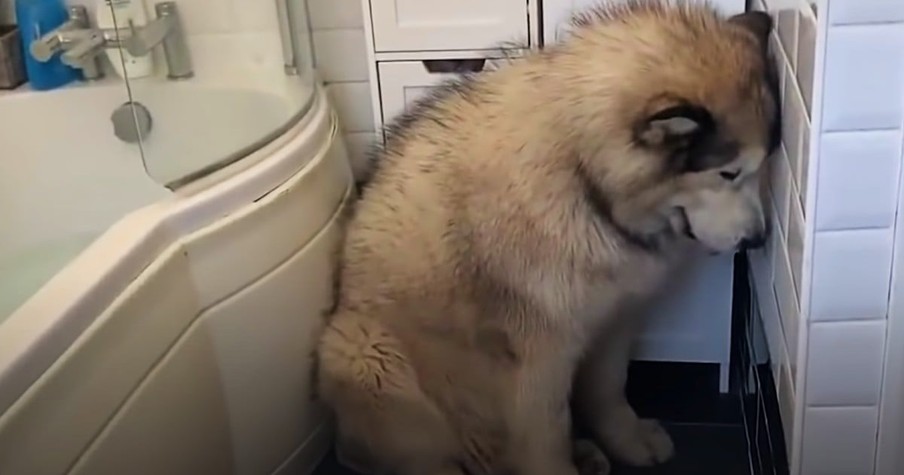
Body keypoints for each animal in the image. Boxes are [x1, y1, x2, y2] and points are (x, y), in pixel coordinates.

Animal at [316, 1, 776, 474]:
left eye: (764, 165)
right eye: (729, 173)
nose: (759, 240)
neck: (582, 175)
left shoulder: (614, 319)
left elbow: (609, 389)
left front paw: (627, 440)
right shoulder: (539, 357)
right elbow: (546, 433)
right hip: (363, 351)